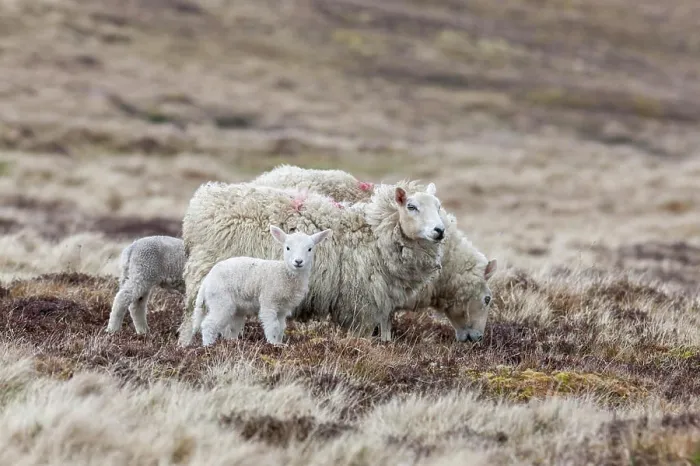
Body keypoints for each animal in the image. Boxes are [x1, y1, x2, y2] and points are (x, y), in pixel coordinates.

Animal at [191, 225, 332, 346]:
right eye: (287, 248)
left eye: (310, 249)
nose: (298, 261)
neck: (285, 274)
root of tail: (206, 280)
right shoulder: (269, 301)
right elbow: (272, 325)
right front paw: (272, 344)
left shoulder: (283, 309)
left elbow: (281, 327)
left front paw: (279, 344)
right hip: (220, 300)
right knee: (209, 324)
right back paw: (208, 347)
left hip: (236, 308)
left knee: (230, 329)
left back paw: (232, 343)